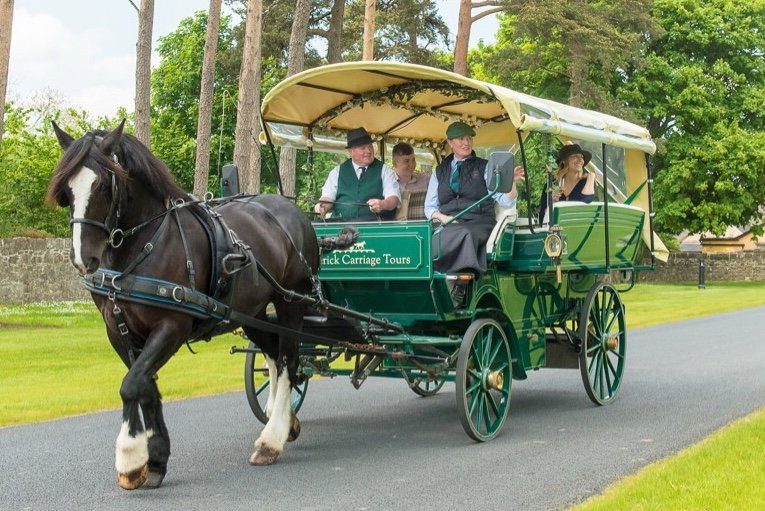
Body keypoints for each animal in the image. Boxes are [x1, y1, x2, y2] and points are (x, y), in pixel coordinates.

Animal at [45, 122, 320, 490]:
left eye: (103, 184)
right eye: (66, 191)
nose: (82, 259)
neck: (143, 245)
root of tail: (288, 208)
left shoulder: (171, 327)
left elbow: (131, 384)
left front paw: (130, 458)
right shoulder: (118, 330)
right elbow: (145, 386)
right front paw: (155, 460)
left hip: (291, 301)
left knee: (289, 359)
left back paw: (271, 439)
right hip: (254, 313)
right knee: (274, 356)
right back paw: (286, 422)